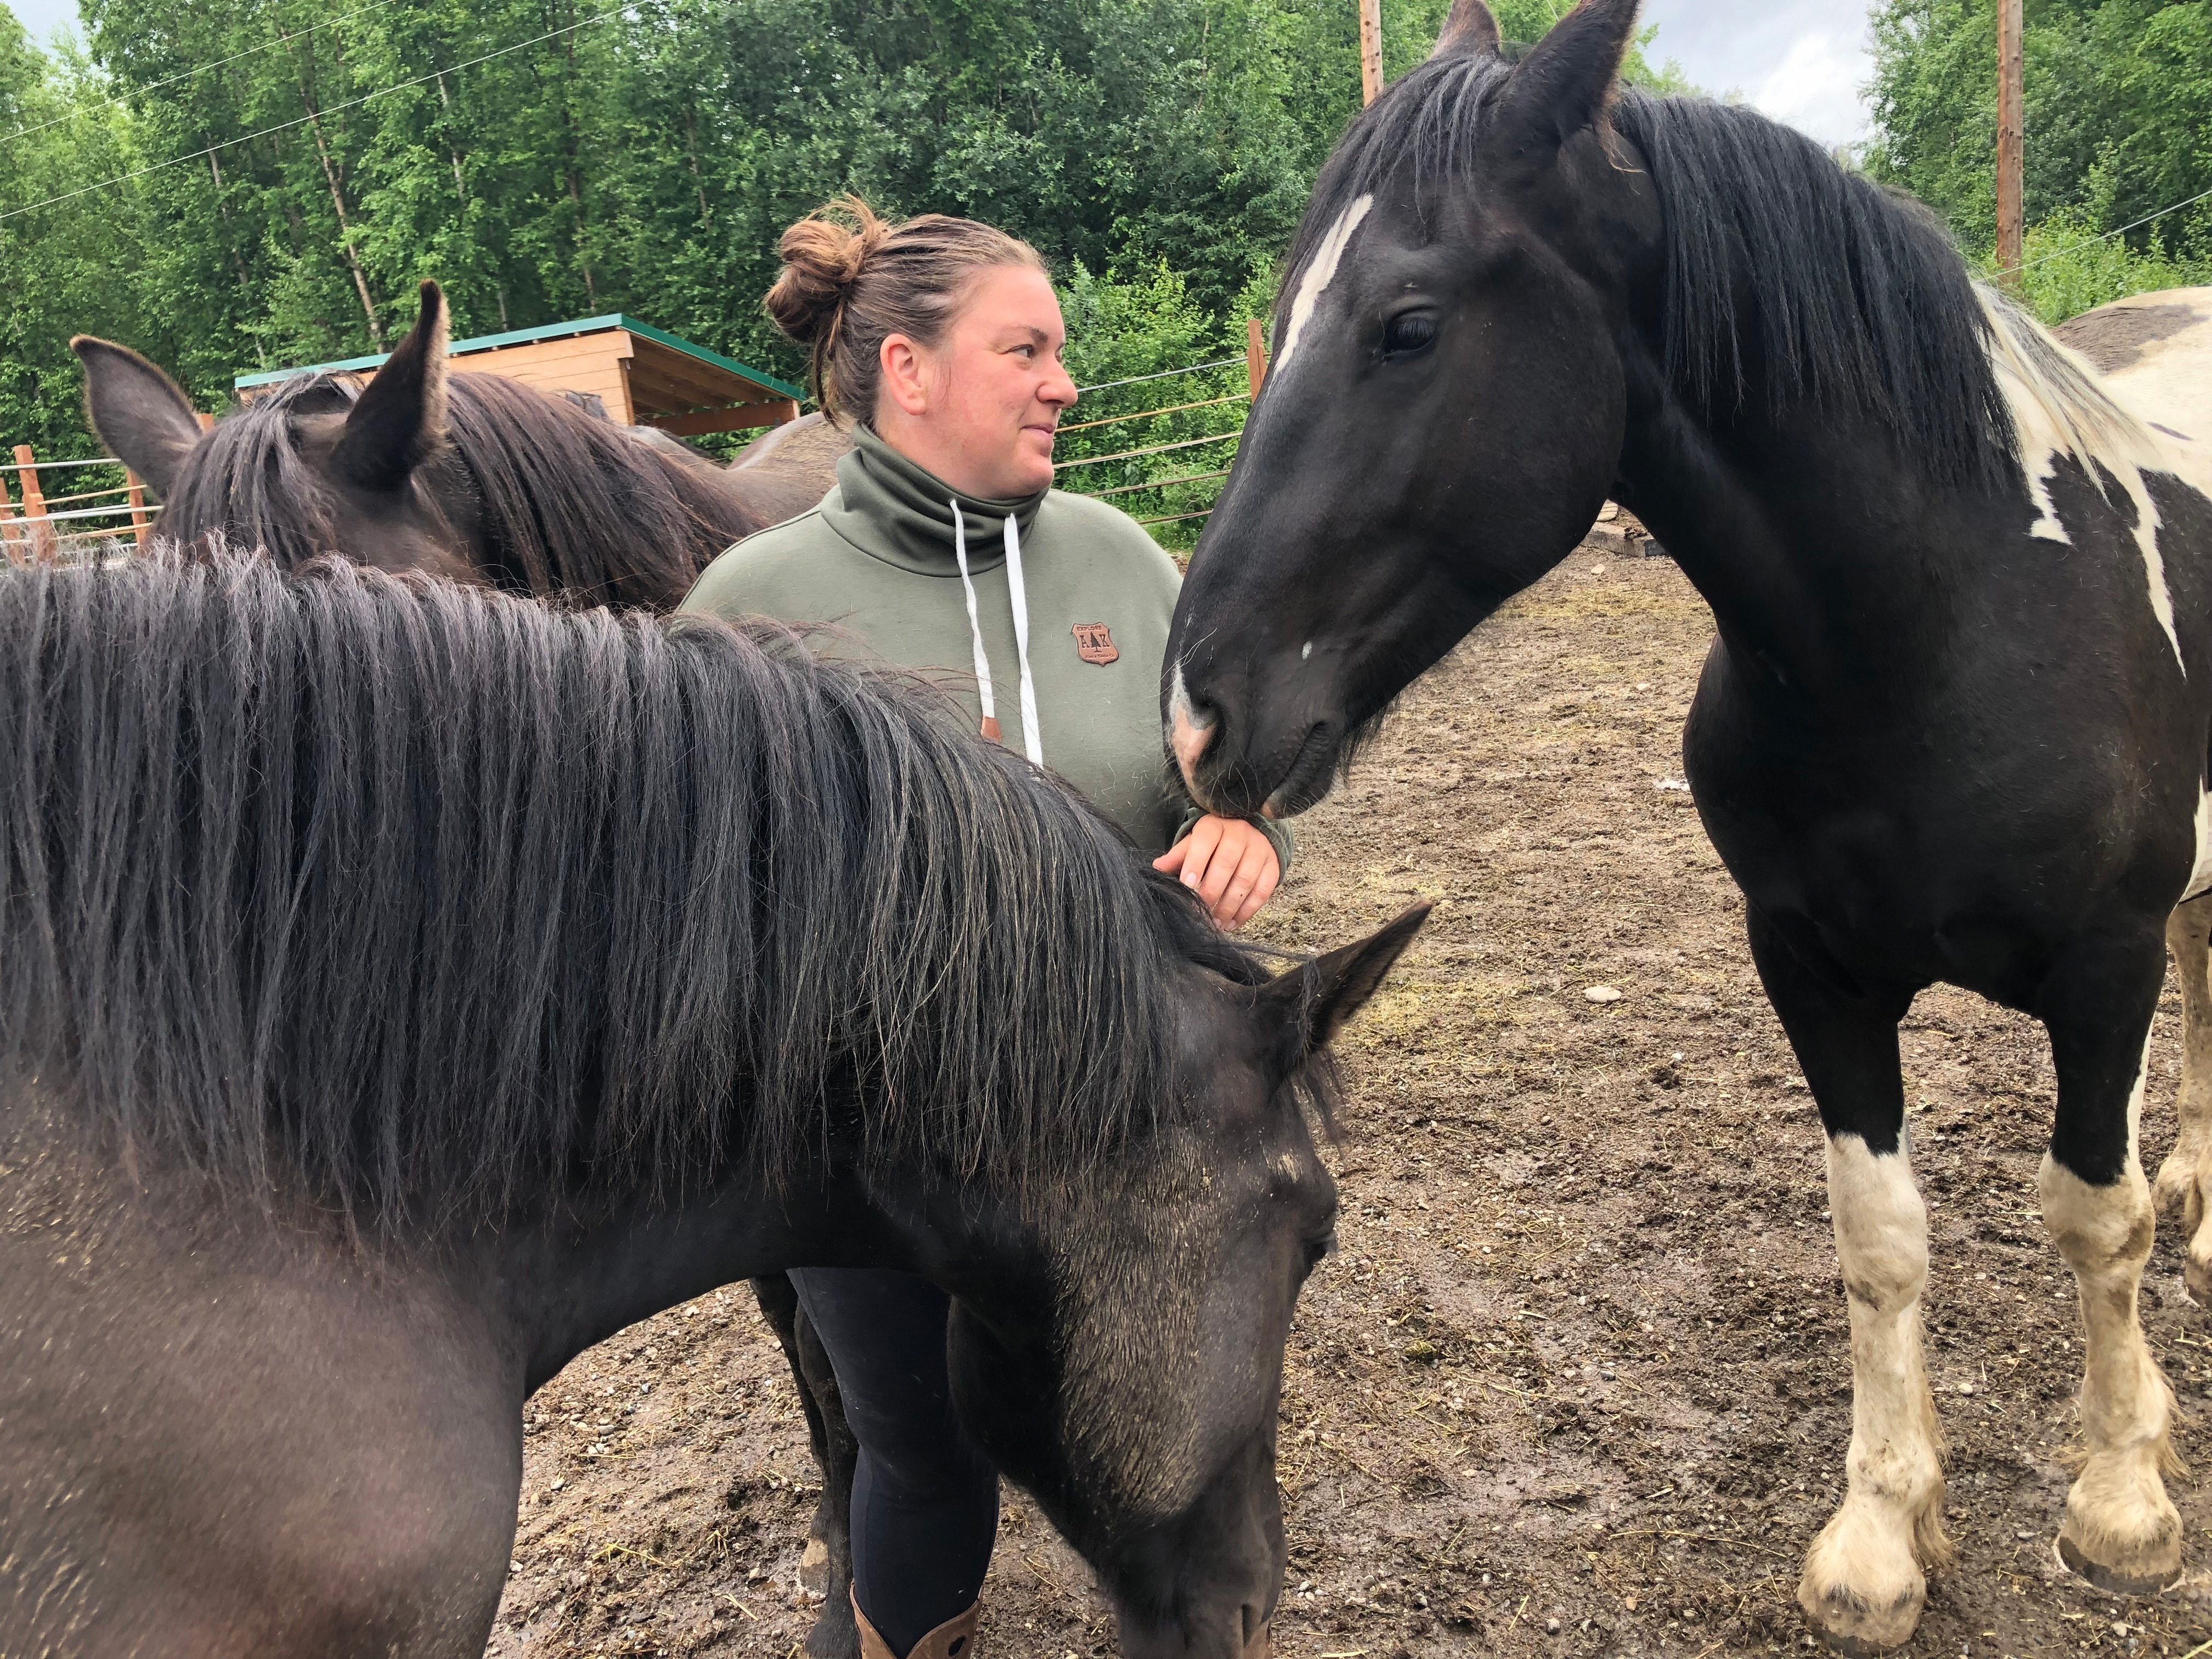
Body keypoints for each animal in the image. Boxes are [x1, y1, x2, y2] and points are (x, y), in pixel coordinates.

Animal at [1160, 0, 2212, 1649]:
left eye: (1408, 326)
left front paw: (2121, 1504)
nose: (1200, 714)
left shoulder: (2104, 975)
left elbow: (2093, 1224)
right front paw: (1882, 1532)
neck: (1948, 626)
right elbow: (1879, 1237)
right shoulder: (1813, 970)